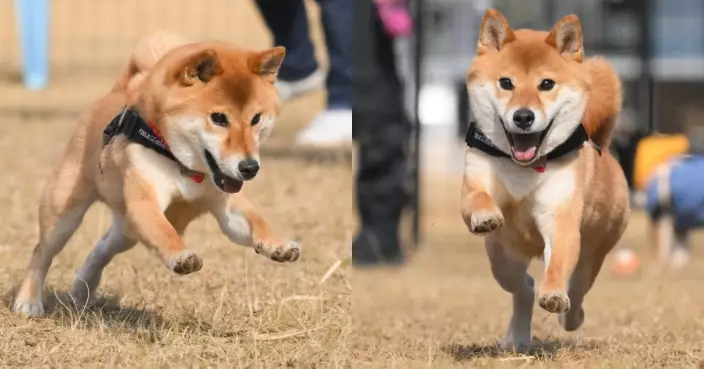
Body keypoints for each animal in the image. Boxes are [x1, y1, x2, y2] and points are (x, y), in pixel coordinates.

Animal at [13, 30, 300, 316]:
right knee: (42, 252)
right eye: (219, 118)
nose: (249, 167)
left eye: (256, 119)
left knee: (101, 249)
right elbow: (164, 232)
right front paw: (181, 255)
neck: (186, 167)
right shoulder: (145, 201)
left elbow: (256, 221)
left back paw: (83, 288)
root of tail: (116, 92)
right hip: (65, 212)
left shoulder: (227, 204)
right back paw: (29, 301)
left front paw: (278, 244)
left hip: (127, 230)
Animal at [460, 10, 628, 346]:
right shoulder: (476, 176)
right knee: (522, 287)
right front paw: (485, 214)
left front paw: (553, 294)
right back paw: (516, 338)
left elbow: (558, 264)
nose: (523, 116)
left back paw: (570, 316)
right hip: (502, 257)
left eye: (546, 84)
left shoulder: (559, 217)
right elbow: (478, 196)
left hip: (593, 251)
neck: (525, 167)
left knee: (577, 290)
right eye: (506, 83)